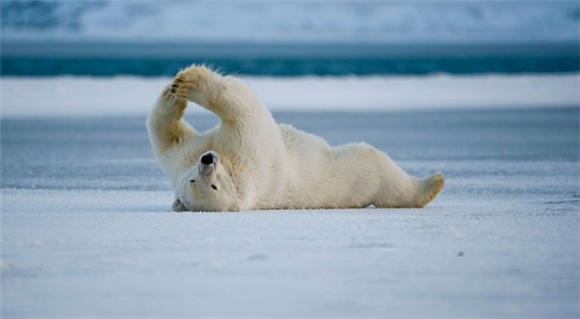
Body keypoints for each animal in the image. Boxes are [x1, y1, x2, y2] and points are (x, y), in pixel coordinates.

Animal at [146, 65, 444, 212]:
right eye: (209, 186)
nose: (208, 159)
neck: (230, 166)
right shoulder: (247, 155)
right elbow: (244, 109)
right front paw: (189, 84)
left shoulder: (182, 161)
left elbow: (166, 135)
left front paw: (176, 87)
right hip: (354, 174)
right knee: (378, 168)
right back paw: (432, 184)